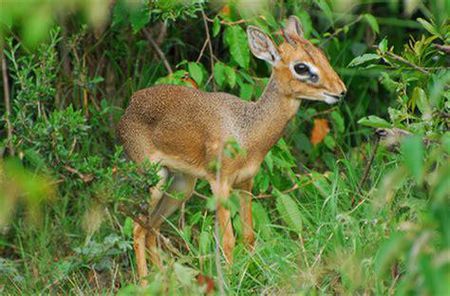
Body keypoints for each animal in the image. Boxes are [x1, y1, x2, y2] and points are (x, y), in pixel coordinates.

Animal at [118, 15, 346, 284]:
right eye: (301, 67)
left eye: (321, 55)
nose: (340, 91)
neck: (246, 130)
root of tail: (129, 107)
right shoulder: (220, 184)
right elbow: (227, 240)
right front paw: (229, 281)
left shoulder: (246, 182)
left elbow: (248, 235)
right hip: (154, 180)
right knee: (137, 227)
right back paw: (144, 283)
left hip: (181, 186)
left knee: (151, 227)